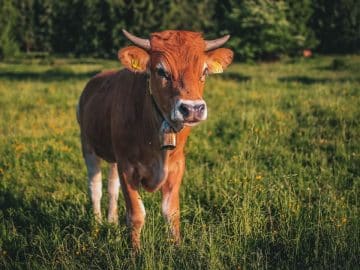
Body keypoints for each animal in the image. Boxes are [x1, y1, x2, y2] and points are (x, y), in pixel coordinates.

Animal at [76, 30, 233, 249]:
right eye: (161, 71)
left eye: (204, 72)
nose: (192, 109)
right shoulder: (127, 167)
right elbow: (136, 214)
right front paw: (135, 251)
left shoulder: (176, 166)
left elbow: (171, 212)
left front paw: (177, 248)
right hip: (87, 146)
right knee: (95, 187)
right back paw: (97, 224)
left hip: (113, 157)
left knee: (112, 188)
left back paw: (111, 221)